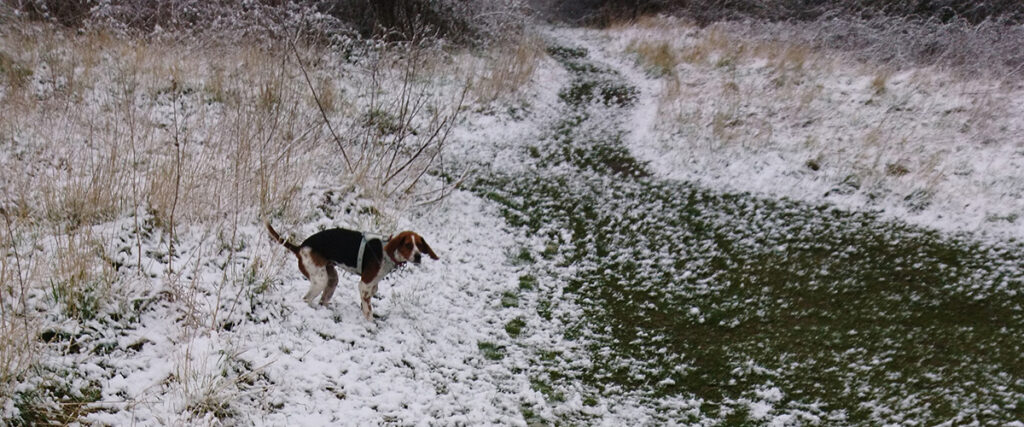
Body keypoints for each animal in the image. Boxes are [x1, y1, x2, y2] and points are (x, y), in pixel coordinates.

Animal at [264, 223, 436, 319]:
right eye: (408, 245)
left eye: (420, 245)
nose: (418, 257)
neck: (386, 252)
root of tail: (300, 247)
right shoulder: (365, 284)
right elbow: (368, 311)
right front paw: (371, 326)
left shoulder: (372, 286)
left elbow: (368, 299)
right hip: (320, 280)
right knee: (306, 299)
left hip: (332, 279)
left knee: (323, 299)